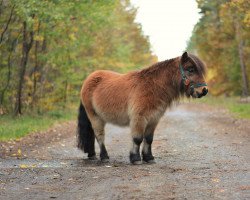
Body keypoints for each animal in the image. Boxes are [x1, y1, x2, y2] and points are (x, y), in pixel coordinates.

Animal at [77, 51, 208, 164]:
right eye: (190, 69)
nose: (204, 90)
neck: (152, 87)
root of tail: (89, 79)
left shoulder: (153, 119)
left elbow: (149, 139)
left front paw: (149, 158)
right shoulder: (139, 118)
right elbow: (137, 139)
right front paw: (135, 158)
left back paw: (92, 155)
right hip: (95, 116)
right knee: (99, 135)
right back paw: (104, 157)